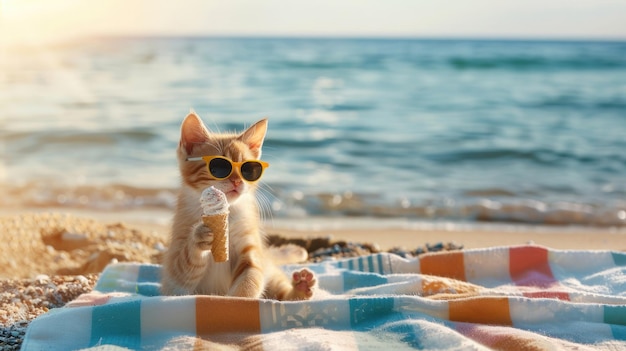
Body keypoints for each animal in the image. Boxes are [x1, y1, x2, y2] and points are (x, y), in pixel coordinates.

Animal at [161, 112, 314, 300]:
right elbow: (183, 266)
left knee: (282, 291)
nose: (237, 180)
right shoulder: (173, 282)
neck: (228, 213)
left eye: (248, 169)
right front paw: (199, 237)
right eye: (218, 167)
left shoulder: (251, 250)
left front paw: (237, 300)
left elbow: (250, 278)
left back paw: (301, 288)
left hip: (271, 274)